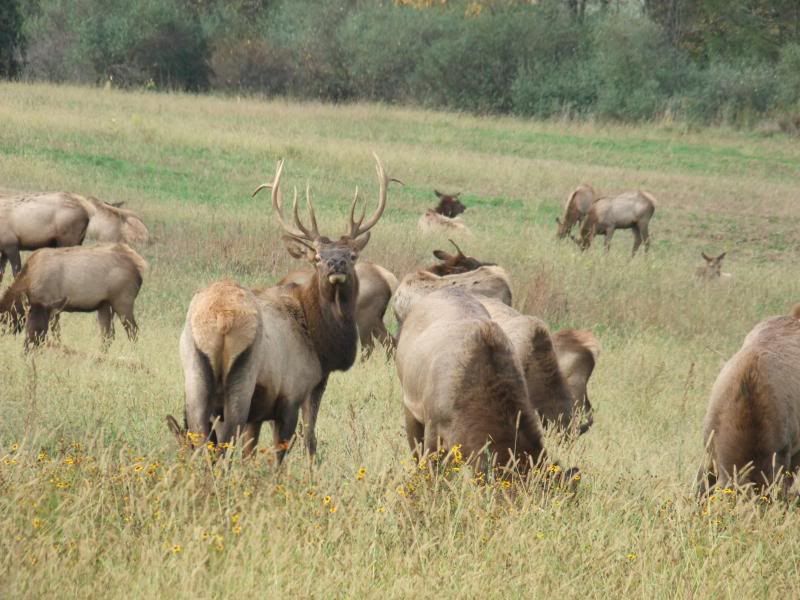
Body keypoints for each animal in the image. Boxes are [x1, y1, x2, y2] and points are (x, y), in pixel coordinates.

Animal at [0, 244, 146, 350]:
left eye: (2, 319)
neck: (28, 280)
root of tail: (139, 269)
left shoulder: (49, 305)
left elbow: (54, 333)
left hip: (122, 302)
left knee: (133, 332)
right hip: (104, 304)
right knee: (108, 336)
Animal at [169, 154, 398, 461]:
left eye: (352, 254)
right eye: (316, 256)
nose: (336, 264)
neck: (320, 344)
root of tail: (219, 321)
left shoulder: (260, 411)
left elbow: (251, 450)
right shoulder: (294, 392)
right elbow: (298, 444)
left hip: (194, 378)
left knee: (202, 439)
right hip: (240, 382)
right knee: (225, 439)